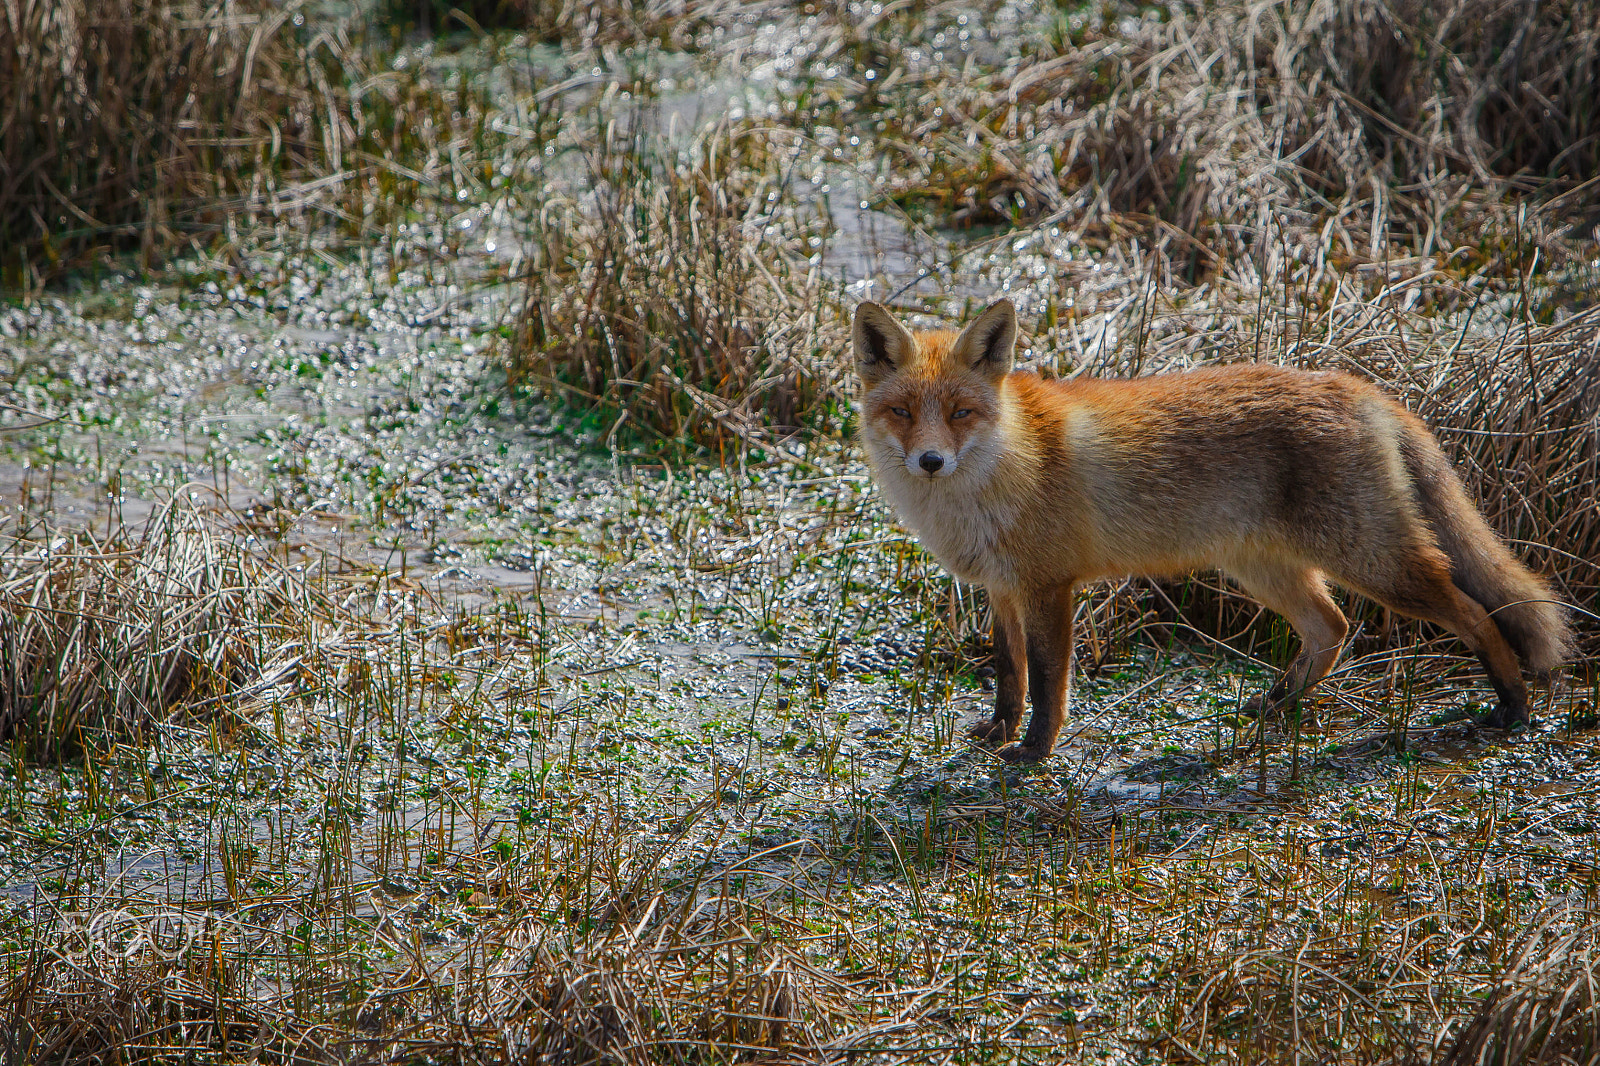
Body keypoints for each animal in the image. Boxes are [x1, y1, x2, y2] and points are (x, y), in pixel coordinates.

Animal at [851, 296, 1574, 765]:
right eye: (903, 412)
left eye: (961, 412)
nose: (931, 461)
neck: (1001, 473)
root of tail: (1359, 387)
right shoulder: (1001, 589)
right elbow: (1009, 673)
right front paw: (1001, 734)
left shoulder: (1049, 588)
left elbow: (1049, 680)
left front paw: (1033, 750)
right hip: (1264, 569)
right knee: (1332, 627)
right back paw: (1277, 706)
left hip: (1376, 562)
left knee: (1476, 613)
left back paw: (1512, 706)